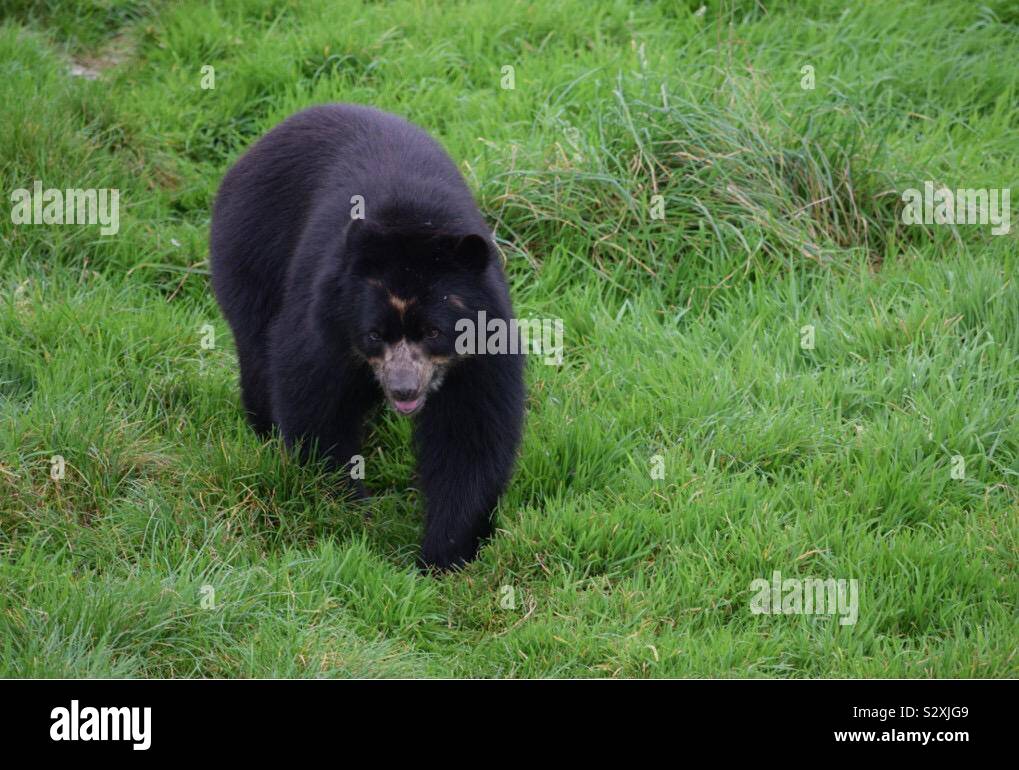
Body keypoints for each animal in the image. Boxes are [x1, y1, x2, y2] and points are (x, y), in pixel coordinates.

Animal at [207, 103, 525, 570]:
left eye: (434, 332)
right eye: (375, 334)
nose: (403, 390)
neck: (413, 221)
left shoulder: (483, 347)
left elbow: (470, 434)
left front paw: (443, 556)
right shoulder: (326, 322)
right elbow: (314, 403)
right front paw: (348, 514)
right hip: (250, 251)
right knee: (256, 349)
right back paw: (263, 429)